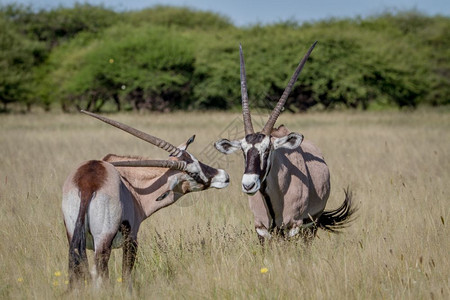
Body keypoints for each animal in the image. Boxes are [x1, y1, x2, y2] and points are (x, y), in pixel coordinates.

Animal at [61, 111, 229, 290]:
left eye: (196, 159)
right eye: (194, 174)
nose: (224, 176)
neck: (130, 184)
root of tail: (87, 183)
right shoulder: (132, 239)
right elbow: (126, 276)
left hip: (74, 239)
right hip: (103, 242)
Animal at [214, 42, 356, 243]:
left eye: (268, 150)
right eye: (243, 150)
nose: (248, 185)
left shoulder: (293, 227)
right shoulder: (261, 229)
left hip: (311, 224)